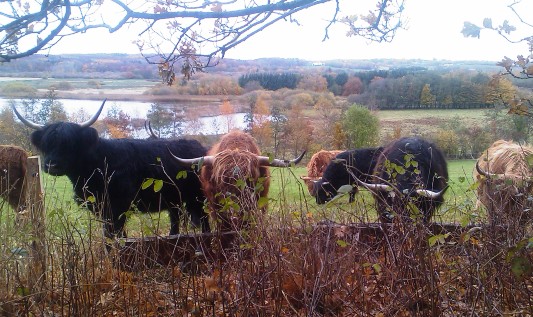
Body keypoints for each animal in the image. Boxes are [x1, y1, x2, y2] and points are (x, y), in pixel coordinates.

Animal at [12, 100, 208, 236]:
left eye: (70, 143)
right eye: (47, 144)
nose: (51, 165)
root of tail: (200, 148)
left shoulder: (118, 208)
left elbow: (117, 237)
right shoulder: (102, 209)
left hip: (197, 199)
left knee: (204, 221)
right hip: (175, 201)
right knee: (176, 222)